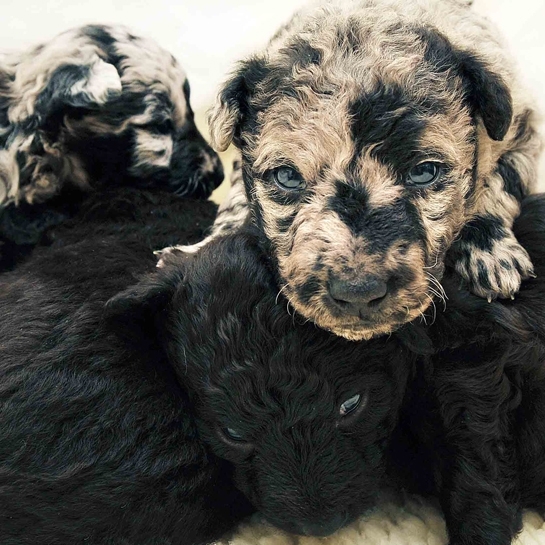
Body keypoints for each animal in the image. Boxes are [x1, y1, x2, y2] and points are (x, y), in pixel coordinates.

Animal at [164, 0, 540, 340]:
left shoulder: (523, 130)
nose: (357, 292)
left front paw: (489, 250)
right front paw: (201, 248)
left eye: (425, 172)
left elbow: (496, 183)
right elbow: (236, 201)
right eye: (287, 177)